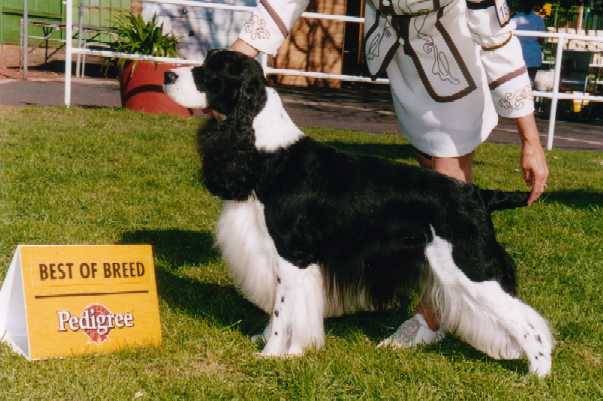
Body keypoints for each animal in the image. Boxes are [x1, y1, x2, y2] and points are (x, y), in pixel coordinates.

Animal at [163, 49, 556, 376]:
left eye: (210, 72)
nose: (167, 74)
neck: (266, 152)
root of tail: (477, 194)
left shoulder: (292, 254)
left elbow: (282, 310)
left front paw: (272, 354)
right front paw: (274, 344)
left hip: (470, 266)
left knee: (529, 323)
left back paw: (537, 373)